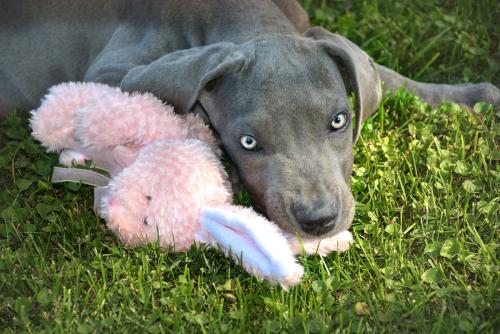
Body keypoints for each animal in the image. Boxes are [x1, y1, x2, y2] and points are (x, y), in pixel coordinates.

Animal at [0, 1, 500, 239]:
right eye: (248, 143)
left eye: (339, 121)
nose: (318, 221)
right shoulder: (111, 71)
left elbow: (387, 75)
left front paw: (474, 97)